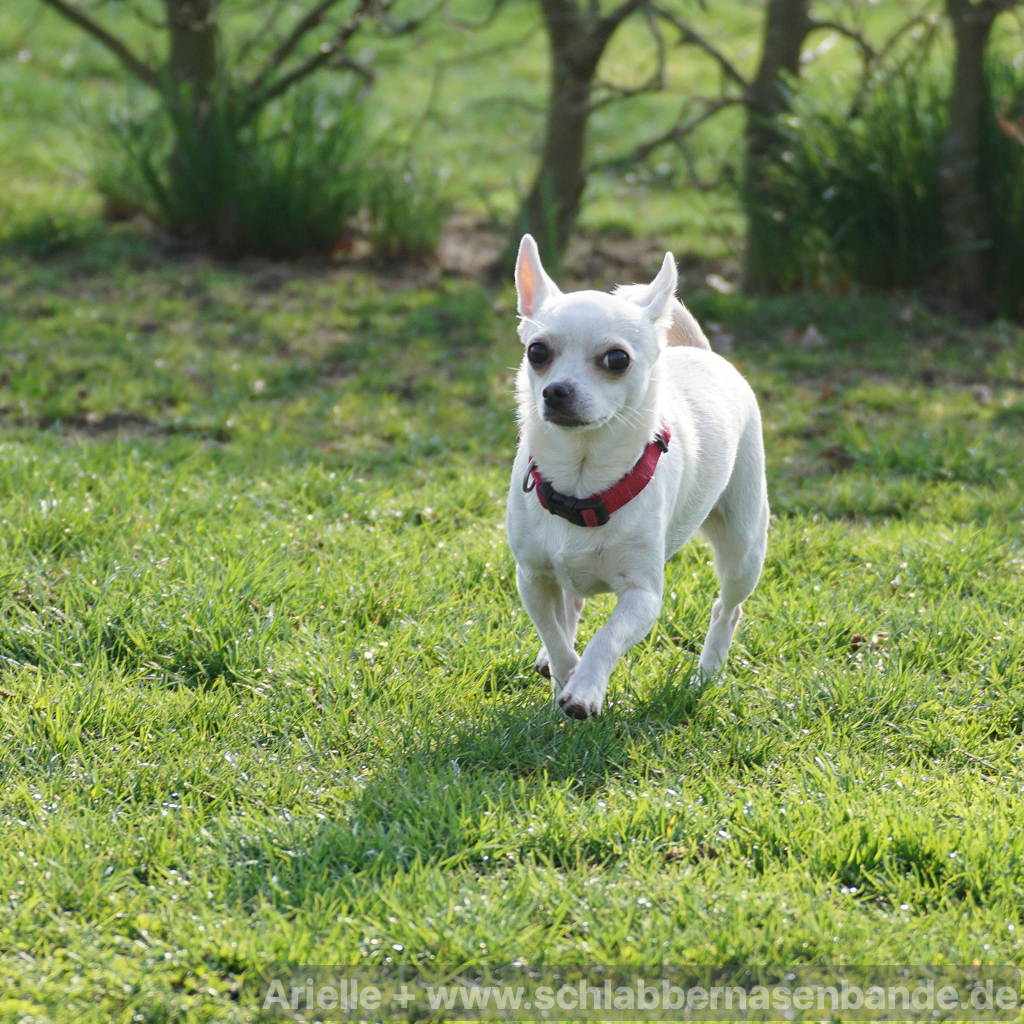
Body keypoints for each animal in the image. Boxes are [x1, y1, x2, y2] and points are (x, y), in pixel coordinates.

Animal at [503, 237, 770, 720]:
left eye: (617, 359)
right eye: (537, 352)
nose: (556, 391)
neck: (581, 485)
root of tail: (702, 352)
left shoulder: (642, 595)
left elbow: (607, 637)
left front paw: (585, 688)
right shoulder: (532, 579)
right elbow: (555, 634)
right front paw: (566, 674)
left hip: (744, 549)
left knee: (728, 609)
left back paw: (707, 674)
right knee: (570, 605)